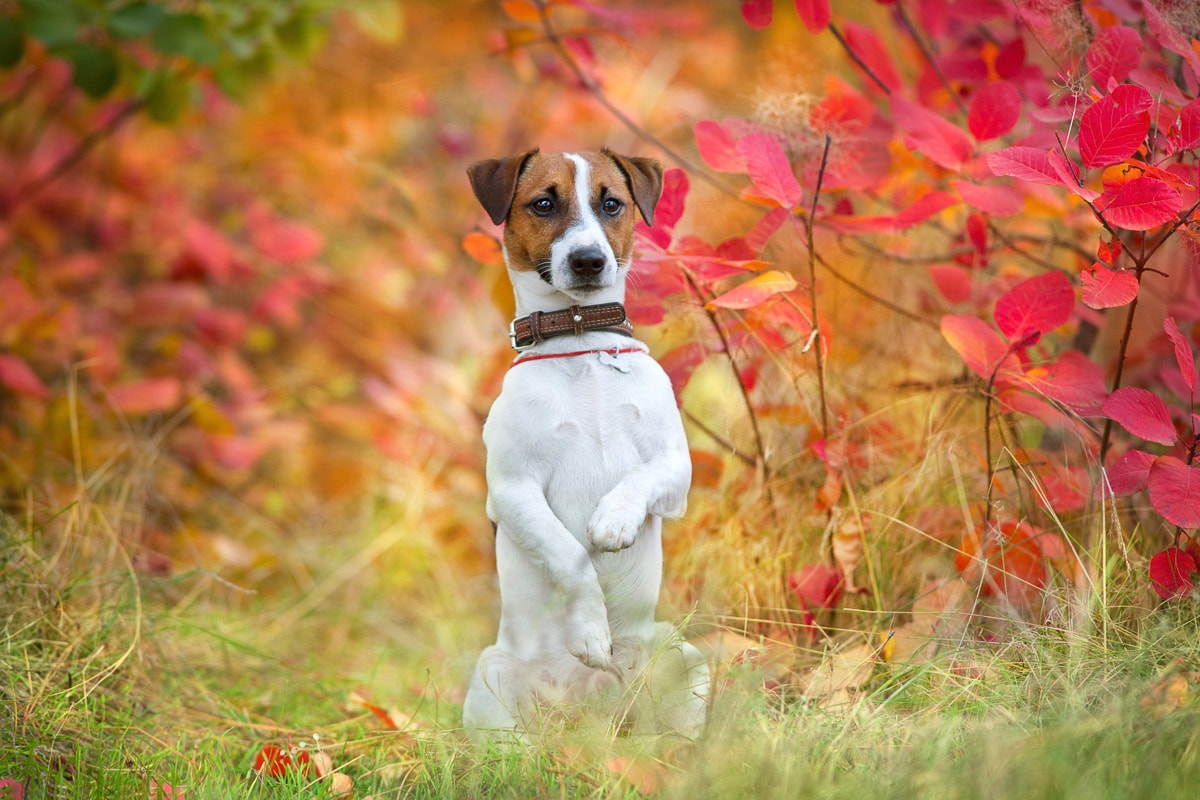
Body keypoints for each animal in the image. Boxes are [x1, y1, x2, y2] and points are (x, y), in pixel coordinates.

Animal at [456, 148, 700, 743]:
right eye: (544, 204)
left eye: (611, 203)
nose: (589, 259)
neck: (580, 339)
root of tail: (590, 715)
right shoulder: (513, 491)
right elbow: (569, 555)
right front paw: (590, 633)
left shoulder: (675, 470)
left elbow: (638, 478)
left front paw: (614, 519)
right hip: (492, 673)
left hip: (685, 655)